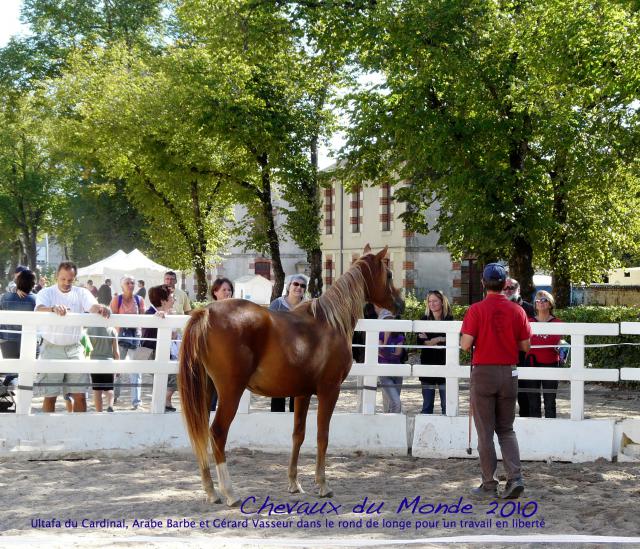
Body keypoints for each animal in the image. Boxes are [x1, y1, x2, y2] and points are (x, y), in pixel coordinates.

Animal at [178, 244, 402, 506]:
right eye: (389, 274)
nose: (400, 304)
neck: (330, 322)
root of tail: (206, 313)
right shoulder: (329, 390)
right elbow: (322, 436)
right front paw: (323, 484)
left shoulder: (302, 394)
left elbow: (298, 435)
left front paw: (294, 483)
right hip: (230, 392)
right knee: (217, 433)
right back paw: (230, 492)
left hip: (206, 388)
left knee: (201, 430)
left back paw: (211, 491)